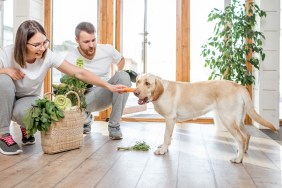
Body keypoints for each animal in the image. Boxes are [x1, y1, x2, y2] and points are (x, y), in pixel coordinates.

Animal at [133, 73, 276, 163]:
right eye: (138, 82)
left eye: (147, 83)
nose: (135, 92)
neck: (161, 92)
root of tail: (239, 86)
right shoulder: (171, 121)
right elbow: (169, 137)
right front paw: (165, 147)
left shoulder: (169, 119)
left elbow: (166, 136)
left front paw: (162, 150)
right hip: (238, 120)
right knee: (247, 135)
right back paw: (242, 151)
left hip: (228, 119)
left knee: (241, 138)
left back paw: (238, 159)